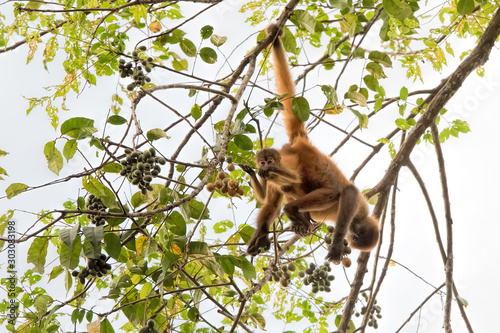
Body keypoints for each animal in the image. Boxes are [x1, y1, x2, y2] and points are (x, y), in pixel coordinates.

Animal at [241, 23, 378, 262]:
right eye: (357, 235)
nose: (352, 236)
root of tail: (303, 142)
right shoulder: (360, 205)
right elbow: (349, 191)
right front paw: (336, 244)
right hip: (304, 160)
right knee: (331, 190)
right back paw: (291, 211)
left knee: (274, 198)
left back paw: (264, 234)